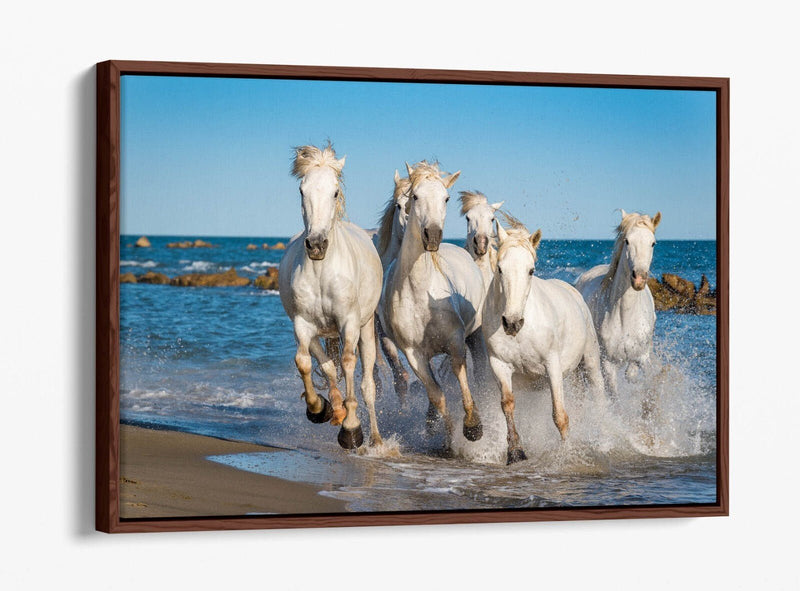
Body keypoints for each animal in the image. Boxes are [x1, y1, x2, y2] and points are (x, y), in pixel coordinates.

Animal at [278, 144, 384, 449]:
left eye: (335, 192)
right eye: (302, 190)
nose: (316, 245)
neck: (322, 271)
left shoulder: (349, 322)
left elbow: (348, 363)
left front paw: (352, 429)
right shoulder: (302, 324)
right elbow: (305, 363)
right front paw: (319, 409)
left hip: (366, 328)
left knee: (367, 384)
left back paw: (376, 439)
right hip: (318, 332)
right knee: (326, 366)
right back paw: (334, 408)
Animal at [379, 161, 486, 449]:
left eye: (446, 198)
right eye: (414, 197)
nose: (433, 236)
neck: (420, 293)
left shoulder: (456, 340)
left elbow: (459, 373)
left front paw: (473, 426)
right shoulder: (414, 354)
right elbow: (437, 394)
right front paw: (449, 438)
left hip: (476, 336)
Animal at [483, 219, 605, 464]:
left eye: (531, 270)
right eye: (500, 268)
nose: (512, 323)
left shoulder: (552, 365)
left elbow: (560, 415)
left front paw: (567, 454)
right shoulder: (499, 365)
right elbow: (507, 404)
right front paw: (515, 453)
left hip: (590, 361)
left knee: (599, 394)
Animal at [574, 210, 661, 398]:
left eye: (653, 243)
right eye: (627, 241)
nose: (639, 278)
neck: (625, 316)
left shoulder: (644, 357)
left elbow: (640, 376)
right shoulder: (608, 364)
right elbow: (615, 395)